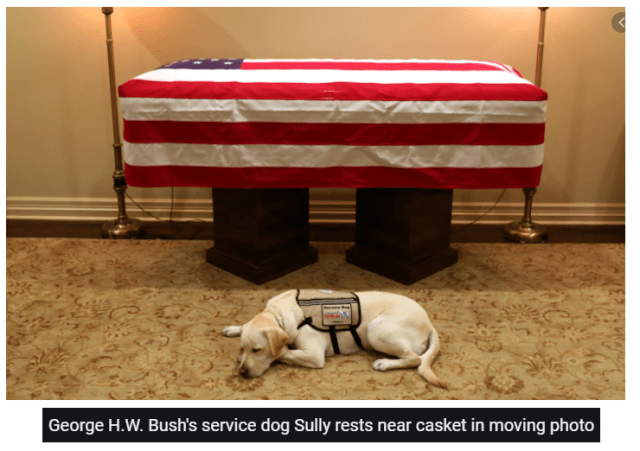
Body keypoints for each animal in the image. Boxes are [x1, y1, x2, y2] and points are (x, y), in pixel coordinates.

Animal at [222, 289, 445, 388]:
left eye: (257, 350)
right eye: (242, 347)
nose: (242, 372)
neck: (278, 313)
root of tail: (429, 323)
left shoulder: (313, 355)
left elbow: (283, 352)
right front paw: (234, 329)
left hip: (376, 329)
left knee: (415, 358)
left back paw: (384, 363)